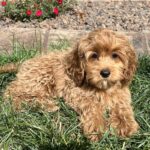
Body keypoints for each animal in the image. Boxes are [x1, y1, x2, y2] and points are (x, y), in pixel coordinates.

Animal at [3, 29, 139, 141]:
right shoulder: (77, 92)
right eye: (94, 55)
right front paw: (96, 128)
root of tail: (24, 63)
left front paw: (124, 125)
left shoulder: (121, 93)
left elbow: (122, 106)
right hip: (40, 77)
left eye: (115, 55)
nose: (105, 73)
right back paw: (45, 105)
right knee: (13, 94)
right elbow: (92, 106)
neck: (102, 87)